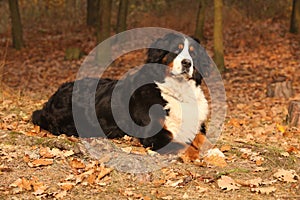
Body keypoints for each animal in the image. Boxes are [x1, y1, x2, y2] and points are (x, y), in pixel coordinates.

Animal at [31, 33, 212, 159]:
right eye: (176, 49)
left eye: (193, 53)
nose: (187, 63)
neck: (176, 91)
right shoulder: (155, 134)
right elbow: (183, 145)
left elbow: (205, 140)